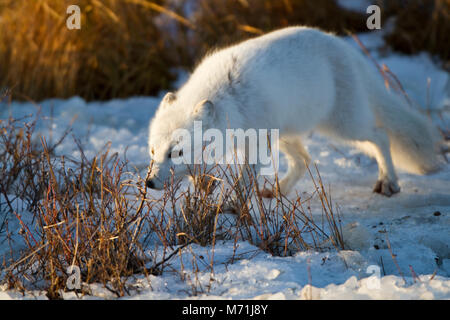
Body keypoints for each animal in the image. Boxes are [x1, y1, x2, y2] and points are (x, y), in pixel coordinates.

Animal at [146, 26, 442, 198]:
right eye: (152, 151)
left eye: (176, 153)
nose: (149, 183)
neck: (229, 97)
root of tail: (344, 47)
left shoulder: (257, 144)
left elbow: (243, 182)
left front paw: (231, 208)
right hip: (286, 132)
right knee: (304, 161)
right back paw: (278, 191)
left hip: (344, 125)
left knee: (380, 136)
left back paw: (388, 182)